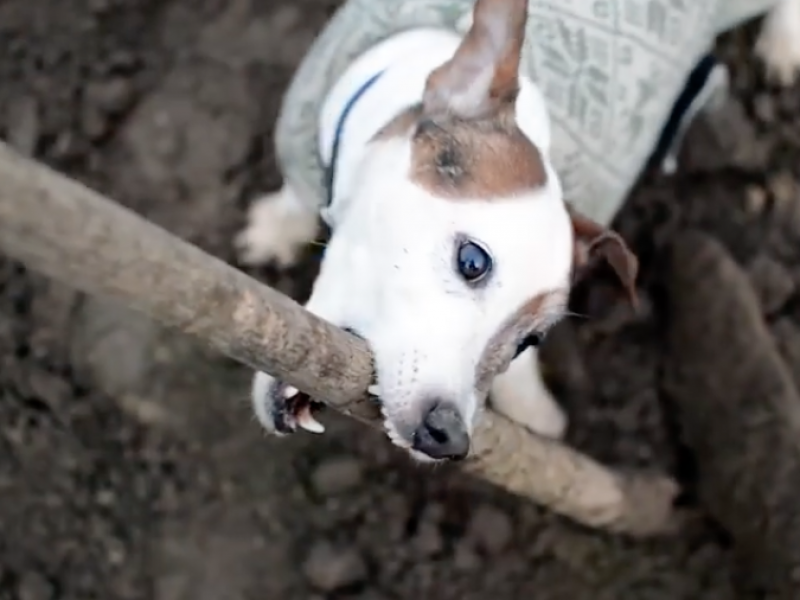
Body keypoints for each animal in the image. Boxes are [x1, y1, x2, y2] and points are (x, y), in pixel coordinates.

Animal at [236, 0, 800, 464]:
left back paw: (784, 41)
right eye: (472, 261)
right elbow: (296, 194)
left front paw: (529, 406)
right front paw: (280, 226)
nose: (448, 438)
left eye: (531, 340)